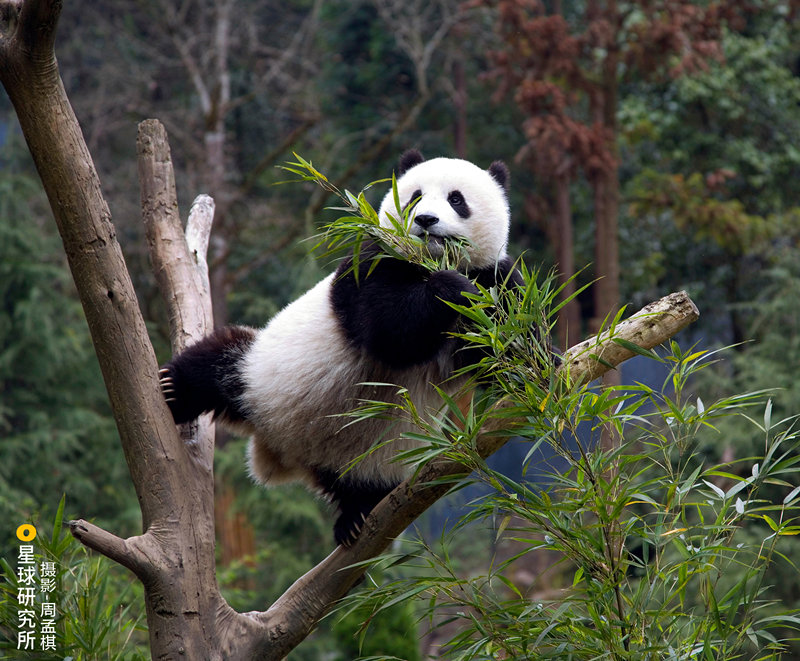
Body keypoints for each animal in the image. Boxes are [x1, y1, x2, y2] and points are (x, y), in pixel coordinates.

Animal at [162, 150, 524, 548]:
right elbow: (388, 329)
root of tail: (276, 449)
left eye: (456, 199)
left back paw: (354, 518)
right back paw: (171, 389)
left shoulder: (496, 280)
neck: (430, 260)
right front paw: (452, 288)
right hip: (258, 371)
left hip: (367, 457)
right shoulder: (372, 260)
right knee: (215, 364)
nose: (426, 220)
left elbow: (503, 349)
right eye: (414, 197)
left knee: (357, 484)